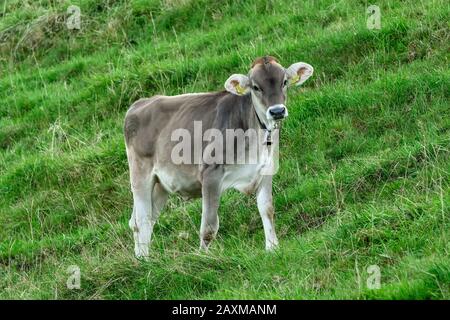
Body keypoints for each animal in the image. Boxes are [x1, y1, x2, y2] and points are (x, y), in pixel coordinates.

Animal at [123, 57, 312, 258]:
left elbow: (267, 209)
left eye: (284, 82)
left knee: (145, 219)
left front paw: (272, 248)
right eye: (255, 87)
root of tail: (139, 103)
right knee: (141, 220)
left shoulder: (265, 169)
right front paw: (203, 258)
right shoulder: (210, 174)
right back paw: (143, 260)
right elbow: (209, 227)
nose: (277, 111)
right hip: (140, 174)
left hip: (160, 184)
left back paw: (143, 260)